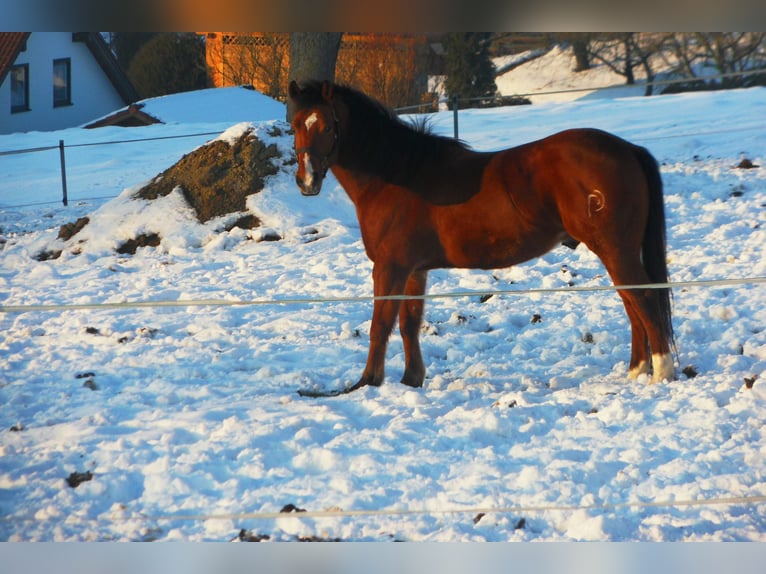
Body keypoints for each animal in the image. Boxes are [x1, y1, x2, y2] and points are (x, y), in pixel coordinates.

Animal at [288, 79, 675, 393]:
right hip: (615, 252)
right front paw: (411, 380)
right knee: (632, 303)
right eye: (294, 125)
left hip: (615, 249)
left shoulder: (390, 266)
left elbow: (380, 324)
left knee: (644, 300)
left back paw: (661, 373)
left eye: (326, 125)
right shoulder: (415, 269)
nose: (307, 181)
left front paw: (369, 382)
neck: (397, 175)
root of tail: (628, 149)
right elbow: (409, 323)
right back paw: (636, 371)